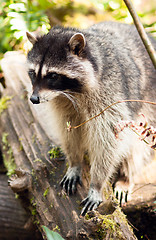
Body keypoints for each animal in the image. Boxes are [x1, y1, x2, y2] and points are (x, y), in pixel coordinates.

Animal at [26, 21, 156, 216]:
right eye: (33, 73)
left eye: (53, 75)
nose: (33, 99)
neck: (70, 91)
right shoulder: (62, 102)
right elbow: (68, 128)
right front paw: (74, 162)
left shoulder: (111, 94)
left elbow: (108, 142)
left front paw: (97, 184)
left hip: (150, 107)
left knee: (138, 145)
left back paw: (127, 176)